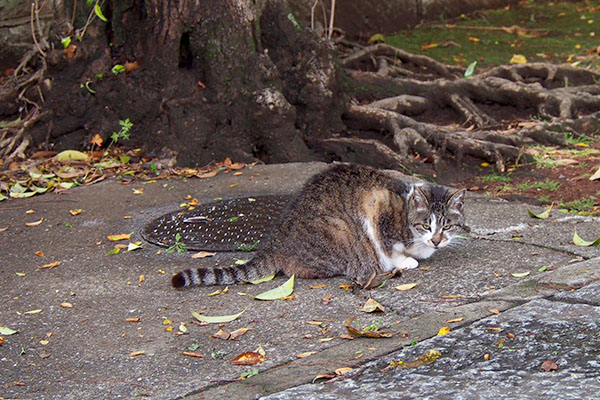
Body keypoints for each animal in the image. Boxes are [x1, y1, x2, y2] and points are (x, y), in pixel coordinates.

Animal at [171, 164, 466, 290]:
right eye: (426, 225)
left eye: (447, 226)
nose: (437, 240)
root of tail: (274, 241)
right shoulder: (377, 206)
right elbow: (391, 247)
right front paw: (405, 261)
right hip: (338, 230)